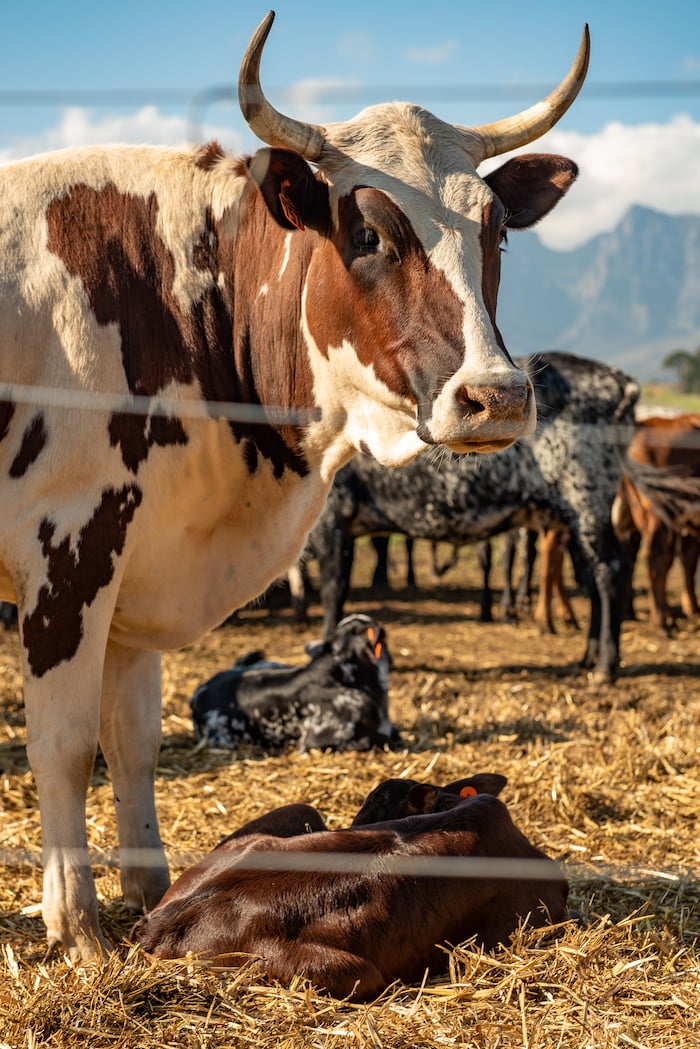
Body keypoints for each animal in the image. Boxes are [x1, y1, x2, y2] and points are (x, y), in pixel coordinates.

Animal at [307, 352, 638, 682]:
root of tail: (618, 380)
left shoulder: (332, 523)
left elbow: (333, 592)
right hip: (575, 521)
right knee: (593, 580)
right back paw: (587, 659)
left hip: (588, 504)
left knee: (610, 571)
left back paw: (605, 666)